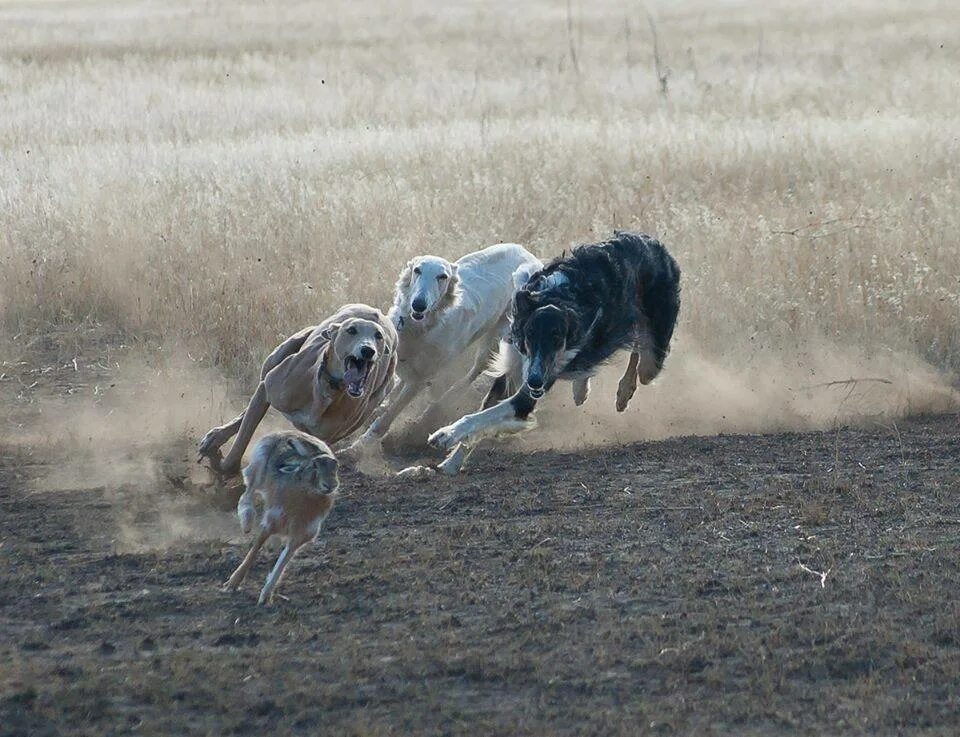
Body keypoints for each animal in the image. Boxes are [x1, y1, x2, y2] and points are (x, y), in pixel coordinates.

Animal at [199, 302, 398, 474]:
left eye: (378, 336)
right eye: (351, 330)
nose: (368, 350)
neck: (328, 390)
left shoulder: (323, 437)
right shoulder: (268, 388)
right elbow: (242, 438)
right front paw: (226, 469)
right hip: (279, 354)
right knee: (248, 409)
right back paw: (216, 437)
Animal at [223, 432, 340, 604]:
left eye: (335, 466)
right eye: (314, 466)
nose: (330, 485)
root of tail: (282, 433)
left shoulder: (300, 536)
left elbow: (282, 563)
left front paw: (265, 597)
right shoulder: (271, 522)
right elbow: (254, 550)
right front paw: (232, 583)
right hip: (258, 468)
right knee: (247, 493)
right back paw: (246, 522)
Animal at [344, 242, 540, 472]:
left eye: (442, 276)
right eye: (417, 270)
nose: (419, 304)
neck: (418, 329)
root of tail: (528, 255)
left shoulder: (420, 379)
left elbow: (388, 416)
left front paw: (357, 446)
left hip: (494, 345)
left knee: (471, 375)